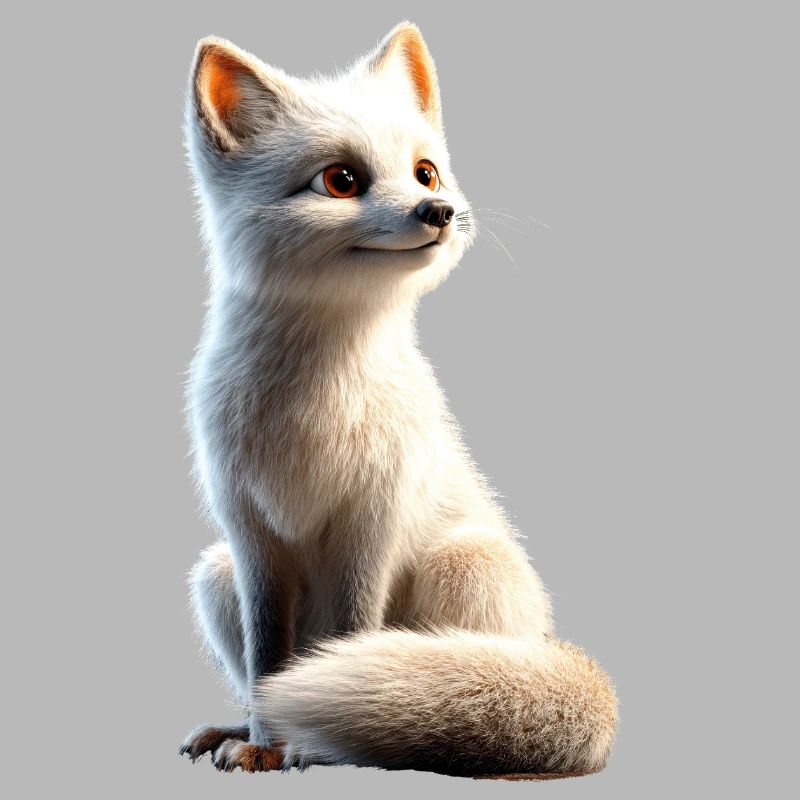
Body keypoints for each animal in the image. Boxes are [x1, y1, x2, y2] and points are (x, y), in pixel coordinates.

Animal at [179, 20, 618, 778]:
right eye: (342, 180)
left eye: (425, 172)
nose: (438, 212)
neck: (314, 408)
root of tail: (547, 640)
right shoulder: (250, 533)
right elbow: (269, 661)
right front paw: (264, 741)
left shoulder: (373, 516)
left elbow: (354, 633)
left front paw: (310, 746)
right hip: (215, 575)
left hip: (463, 564)